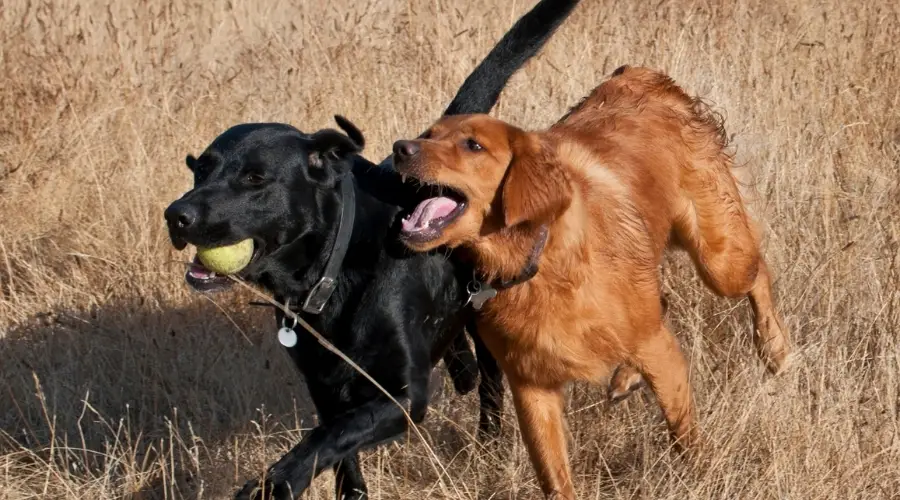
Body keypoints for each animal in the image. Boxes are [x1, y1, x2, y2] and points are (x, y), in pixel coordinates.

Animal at [165, 1, 580, 498]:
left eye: (255, 177)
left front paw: (278, 481)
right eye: (201, 170)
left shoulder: (402, 395)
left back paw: (489, 439)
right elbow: (339, 447)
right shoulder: (326, 388)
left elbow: (329, 436)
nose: (176, 215)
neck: (334, 271)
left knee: (491, 384)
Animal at [390, 65, 792, 496]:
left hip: (719, 259)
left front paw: (702, 475)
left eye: (473, 146)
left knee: (758, 272)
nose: (401, 148)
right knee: (665, 300)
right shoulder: (530, 386)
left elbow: (684, 432)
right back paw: (628, 378)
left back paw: (774, 348)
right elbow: (554, 476)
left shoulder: (661, 351)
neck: (537, 258)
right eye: (429, 134)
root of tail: (641, 74)